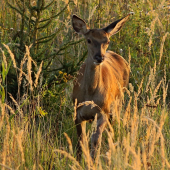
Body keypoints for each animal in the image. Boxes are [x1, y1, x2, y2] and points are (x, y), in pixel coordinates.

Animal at [72, 13, 130, 160]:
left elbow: (95, 140)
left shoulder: (102, 111)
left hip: (117, 104)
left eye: (107, 41)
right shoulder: (76, 111)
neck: (90, 94)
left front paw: (93, 160)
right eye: (89, 40)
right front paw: (79, 160)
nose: (99, 57)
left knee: (113, 130)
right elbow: (81, 141)